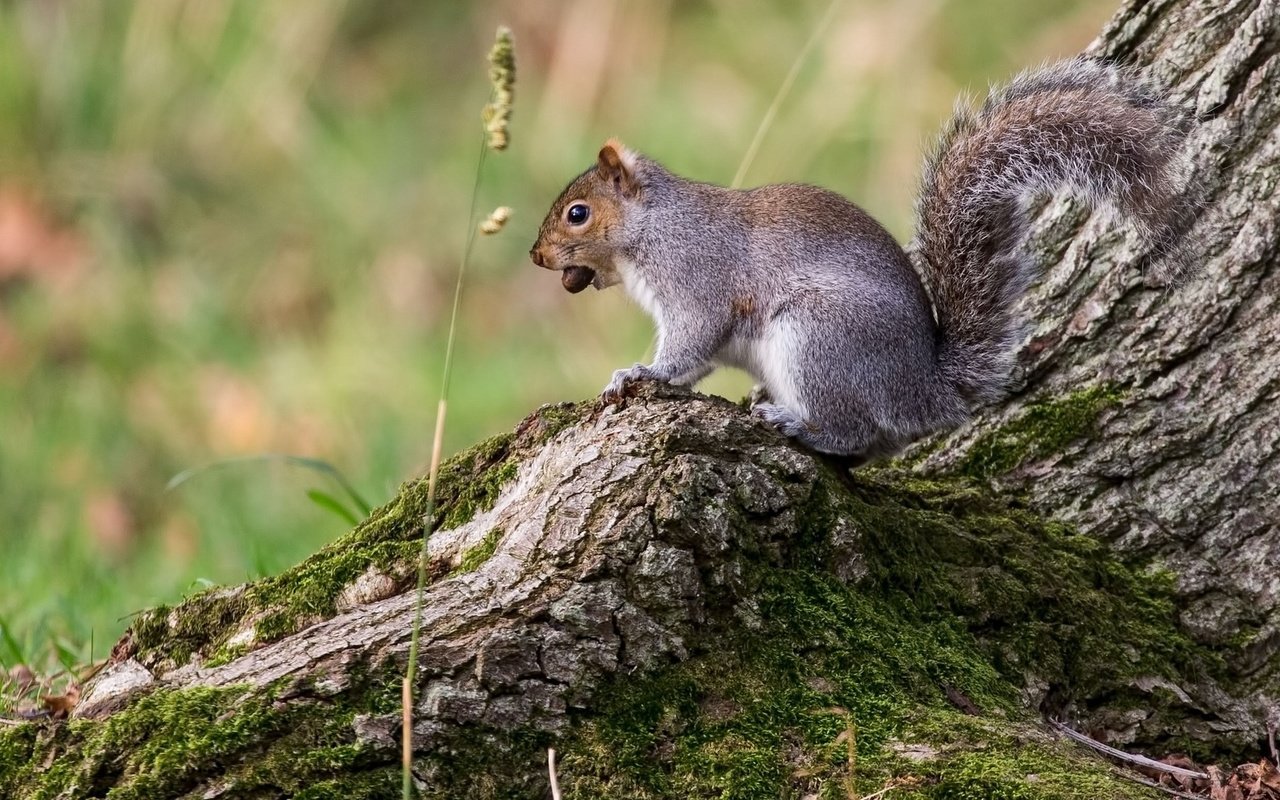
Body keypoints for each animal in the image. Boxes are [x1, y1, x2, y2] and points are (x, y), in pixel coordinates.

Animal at [527, 59, 1198, 458]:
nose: (536, 255)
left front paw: (642, 374)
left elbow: (691, 344)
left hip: (819, 339)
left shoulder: (698, 279)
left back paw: (799, 425)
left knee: (855, 432)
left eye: (577, 213)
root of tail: (924, 390)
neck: (653, 228)